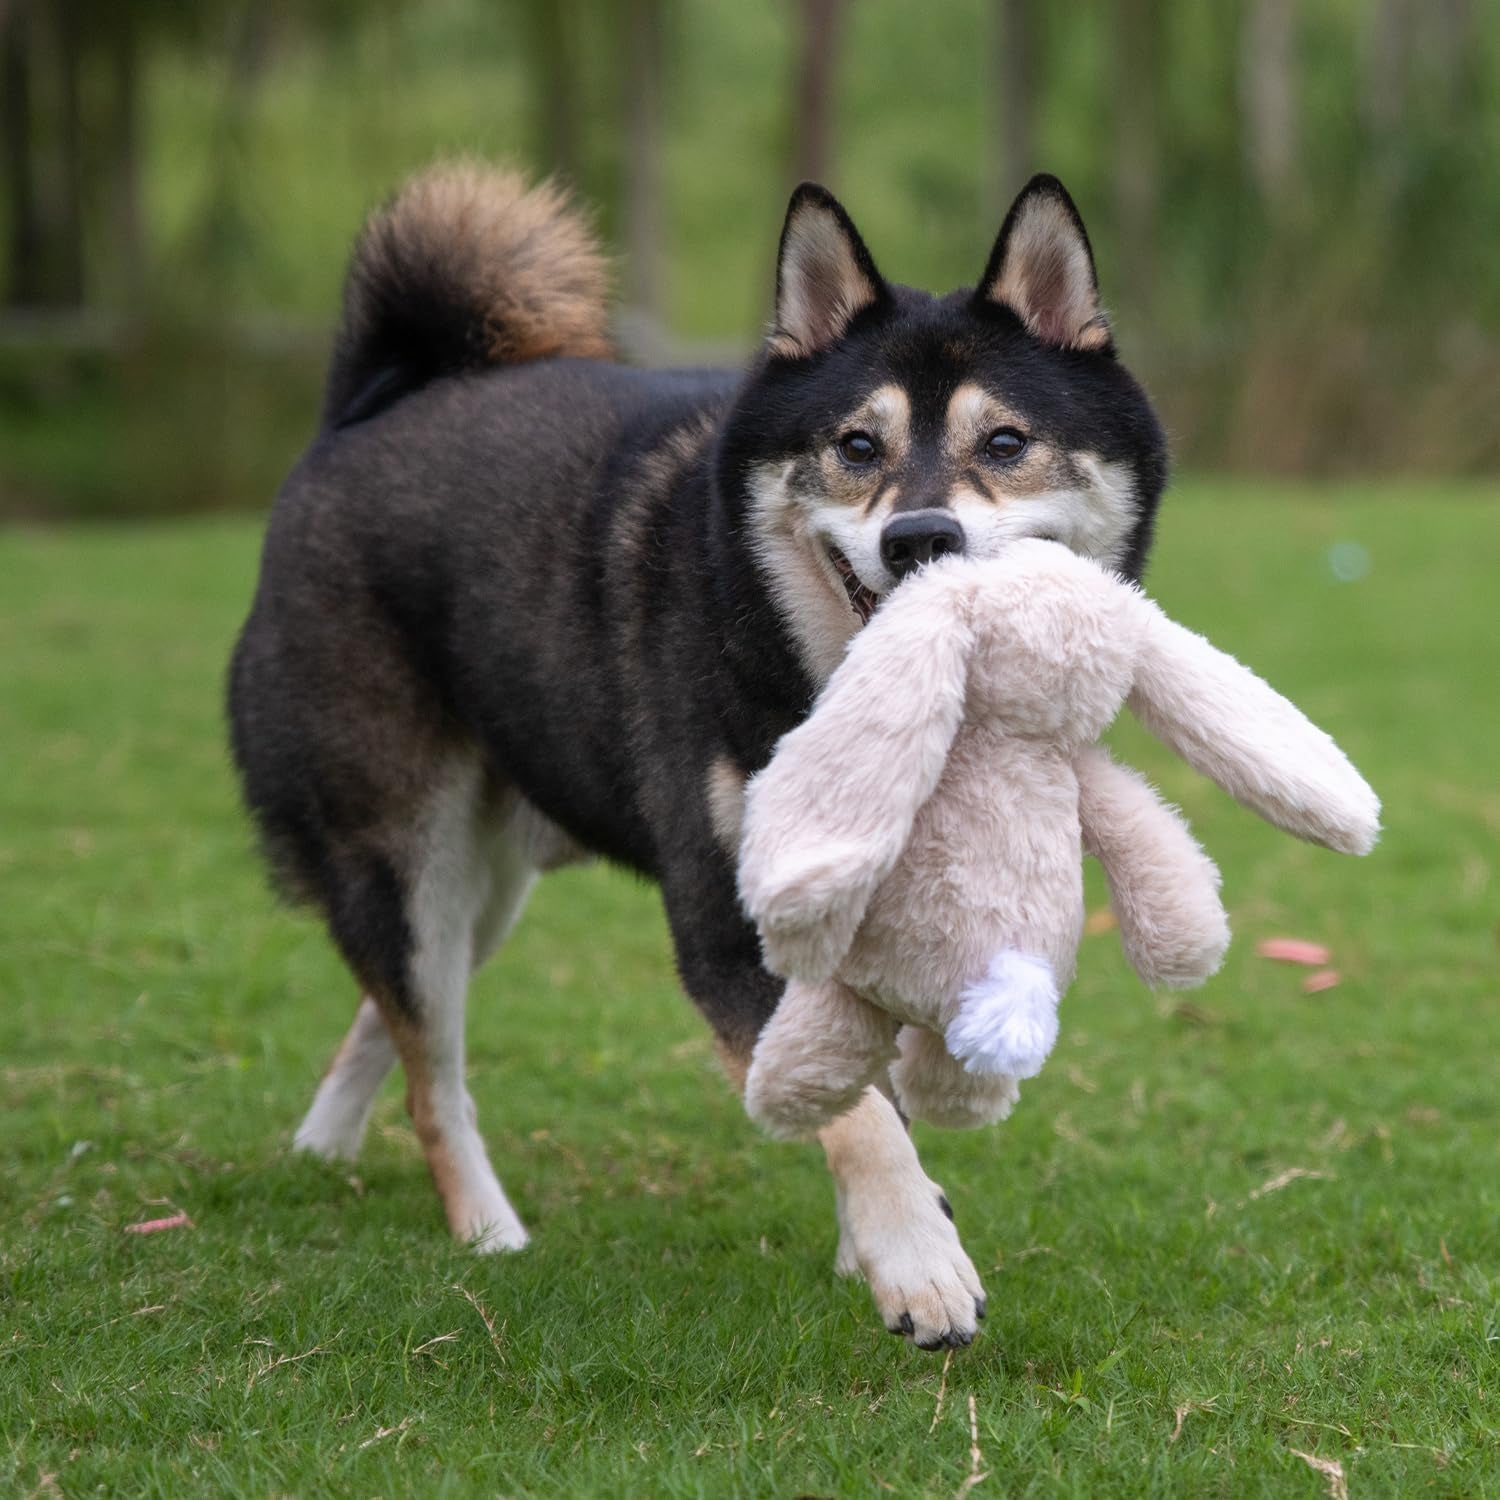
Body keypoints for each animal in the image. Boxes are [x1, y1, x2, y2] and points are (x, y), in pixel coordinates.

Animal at [231, 161, 1170, 1350]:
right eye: (856, 448)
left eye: (1005, 443)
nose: (918, 538)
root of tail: (368, 409)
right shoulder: (725, 924)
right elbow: (863, 1116)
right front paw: (918, 1264)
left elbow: (862, 1089)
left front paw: (879, 1246)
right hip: (408, 849)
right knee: (427, 1068)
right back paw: (488, 1231)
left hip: (486, 886)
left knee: (396, 1016)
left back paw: (325, 1141)